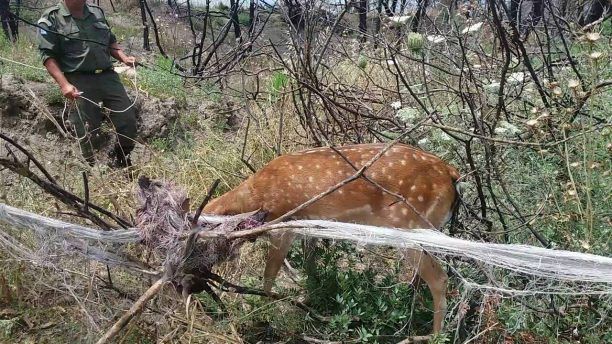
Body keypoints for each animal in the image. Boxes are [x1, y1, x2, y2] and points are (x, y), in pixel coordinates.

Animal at [203, 142, 462, 334]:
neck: (254, 197)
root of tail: (451, 172)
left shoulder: (285, 223)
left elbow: (269, 274)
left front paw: (264, 313)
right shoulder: (309, 226)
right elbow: (309, 265)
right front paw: (308, 297)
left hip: (408, 225)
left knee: (439, 278)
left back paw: (433, 335)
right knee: (422, 278)